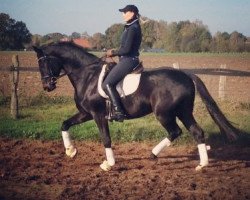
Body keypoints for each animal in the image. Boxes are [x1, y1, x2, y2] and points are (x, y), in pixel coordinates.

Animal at [33, 41, 238, 171]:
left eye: (43, 63)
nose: (47, 86)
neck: (87, 75)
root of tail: (186, 75)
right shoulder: (85, 113)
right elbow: (65, 124)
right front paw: (71, 151)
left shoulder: (98, 115)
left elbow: (105, 138)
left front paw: (108, 164)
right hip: (184, 112)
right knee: (197, 132)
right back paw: (201, 165)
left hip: (164, 113)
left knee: (175, 132)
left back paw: (153, 154)